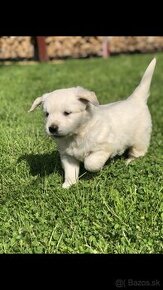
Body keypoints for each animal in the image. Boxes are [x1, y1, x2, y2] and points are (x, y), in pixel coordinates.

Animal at [29, 58, 157, 189]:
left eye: (67, 113)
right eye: (47, 114)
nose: (52, 128)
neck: (77, 134)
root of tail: (136, 99)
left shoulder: (103, 148)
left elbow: (90, 163)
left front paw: (93, 168)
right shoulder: (68, 156)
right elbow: (70, 171)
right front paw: (68, 185)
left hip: (140, 138)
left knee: (138, 152)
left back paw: (129, 161)